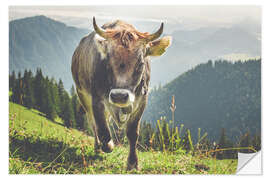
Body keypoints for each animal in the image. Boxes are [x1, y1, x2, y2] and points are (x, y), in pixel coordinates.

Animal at [71, 17, 172, 170]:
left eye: (141, 64)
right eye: (107, 62)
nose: (119, 96)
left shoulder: (142, 101)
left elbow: (132, 132)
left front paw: (133, 163)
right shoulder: (96, 99)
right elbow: (102, 129)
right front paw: (108, 145)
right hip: (82, 95)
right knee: (93, 123)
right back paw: (97, 146)